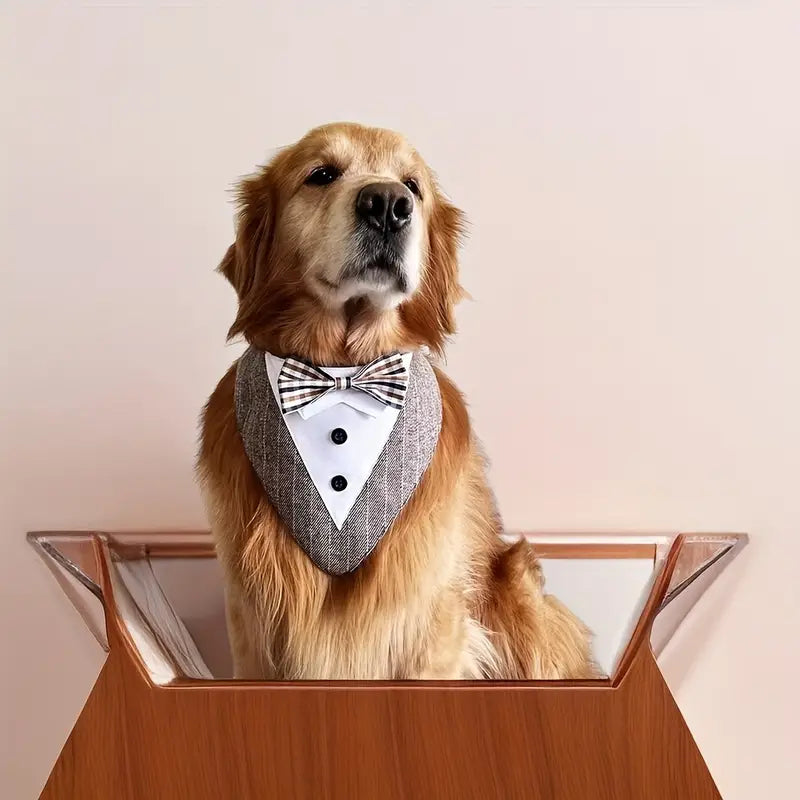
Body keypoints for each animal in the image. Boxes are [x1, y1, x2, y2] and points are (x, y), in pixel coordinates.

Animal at [196, 122, 592, 680]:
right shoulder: (250, 618)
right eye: (321, 174)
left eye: (413, 185)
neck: (342, 372)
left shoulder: (432, 617)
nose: (387, 203)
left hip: (516, 589)